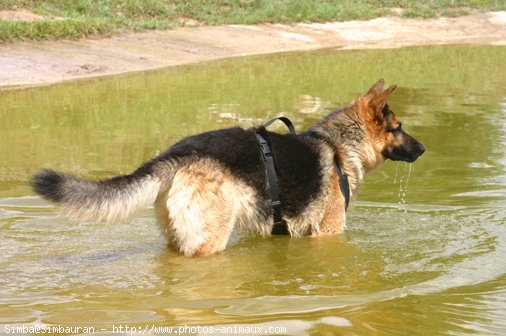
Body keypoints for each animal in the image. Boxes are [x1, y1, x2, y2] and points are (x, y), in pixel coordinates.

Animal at [31, 79, 424, 258]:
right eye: (399, 127)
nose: (423, 149)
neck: (340, 146)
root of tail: (179, 152)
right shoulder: (328, 234)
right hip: (210, 239)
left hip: (178, 235)